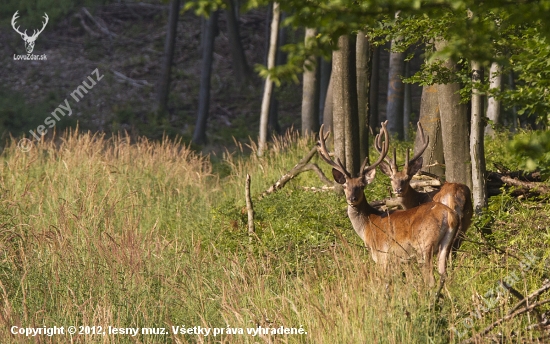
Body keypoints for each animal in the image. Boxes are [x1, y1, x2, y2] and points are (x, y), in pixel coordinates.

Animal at [316, 121, 460, 288]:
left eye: (361, 186)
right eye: (345, 186)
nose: (352, 198)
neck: (367, 226)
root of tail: (449, 215)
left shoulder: (382, 254)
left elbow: (384, 283)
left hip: (425, 244)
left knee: (431, 278)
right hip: (446, 245)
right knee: (444, 275)